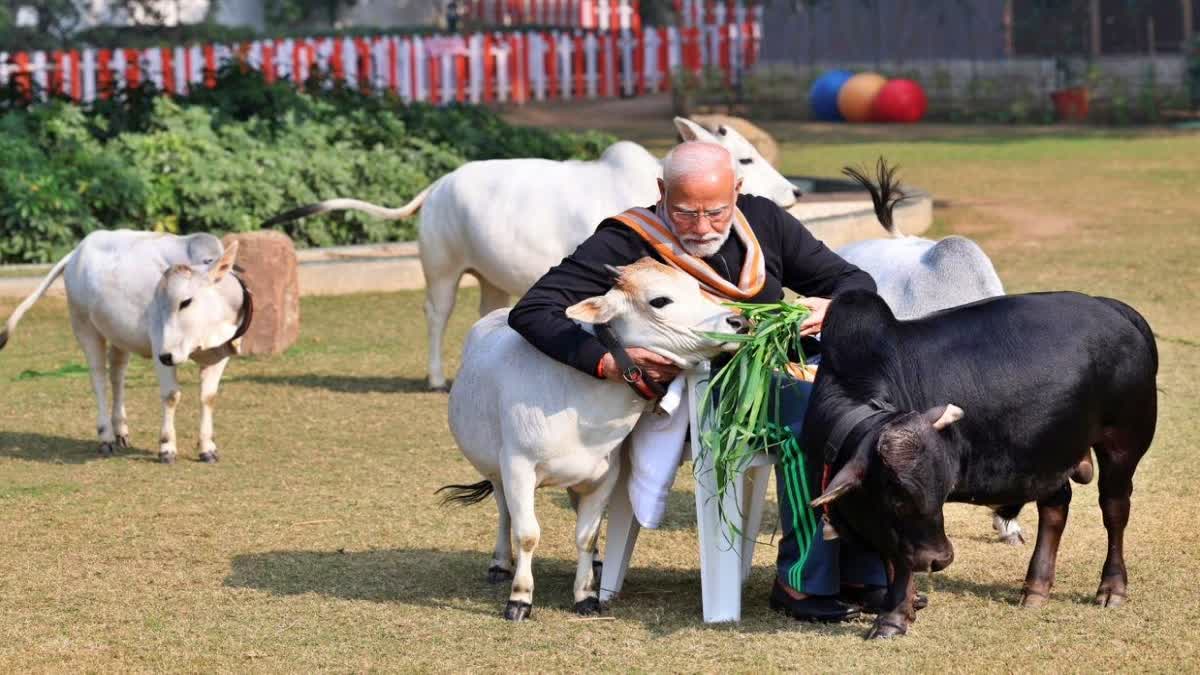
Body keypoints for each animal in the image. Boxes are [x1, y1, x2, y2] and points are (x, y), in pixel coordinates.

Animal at [0, 230, 250, 461]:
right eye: (158, 301)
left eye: (186, 301)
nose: (167, 356)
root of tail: (77, 251)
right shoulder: (160, 348)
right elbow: (171, 395)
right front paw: (167, 447)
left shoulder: (219, 355)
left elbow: (208, 397)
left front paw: (208, 448)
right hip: (84, 326)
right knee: (99, 379)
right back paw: (106, 437)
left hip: (119, 335)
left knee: (117, 376)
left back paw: (120, 430)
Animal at [262, 116, 796, 389]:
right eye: (744, 158)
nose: (792, 192)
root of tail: (438, 184)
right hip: (442, 269)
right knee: (436, 314)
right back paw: (437, 378)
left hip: (490, 279)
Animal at [436, 257, 744, 619]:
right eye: (660, 301)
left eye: (697, 287)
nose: (738, 321)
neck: (579, 403)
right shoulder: (517, 468)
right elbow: (527, 534)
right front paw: (520, 599)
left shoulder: (604, 476)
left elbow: (586, 535)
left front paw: (585, 594)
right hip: (495, 469)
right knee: (504, 511)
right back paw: (500, 563)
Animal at [801, 288, 1156, 634]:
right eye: (897, 497)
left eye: (941, 491)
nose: (941, 559)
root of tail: (1111, 307)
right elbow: (892, 557)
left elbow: (902, 562)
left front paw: (893, 618)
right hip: (1048, 455)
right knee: (1055, 507)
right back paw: (1036, 588)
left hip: (1122, 446)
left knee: (1114, 510)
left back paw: (1111, 588)